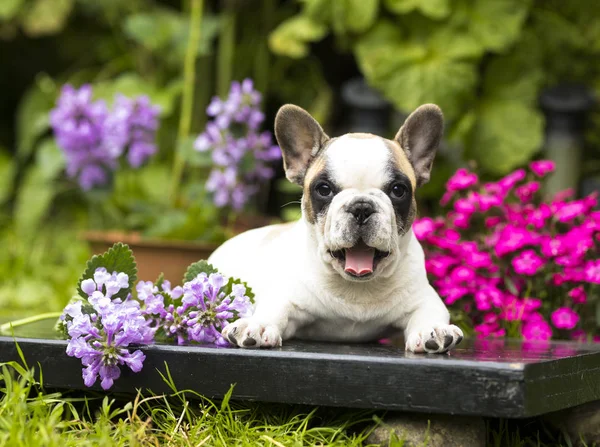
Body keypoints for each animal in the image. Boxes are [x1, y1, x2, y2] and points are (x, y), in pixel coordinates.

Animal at [209, 104, 466, 354]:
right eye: (324, 189)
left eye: (398, 190)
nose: (361, 206)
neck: (356, 289)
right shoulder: (285, 297)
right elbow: (273, 310)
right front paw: (257, 325)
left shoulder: (425, 299)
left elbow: (428, 313)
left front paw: (433, 329)